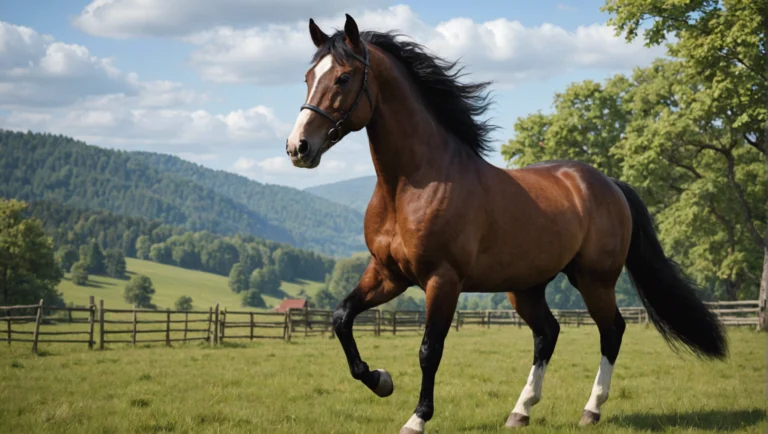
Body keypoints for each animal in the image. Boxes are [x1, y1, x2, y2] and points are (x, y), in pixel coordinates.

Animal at [285, 14, 728, 433]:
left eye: (343, 77)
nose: (298, 147)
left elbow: (430, 349)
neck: (412, 183)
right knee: (548, 333)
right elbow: (342, 318)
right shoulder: (388, 274)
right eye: (307, 77)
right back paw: (521, 411)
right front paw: (380, 380)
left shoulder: (442, 281)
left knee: (612, 330)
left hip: (594, 280)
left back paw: (591, 409)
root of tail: (609, 184)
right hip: (526, 287)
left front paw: (417, 418)